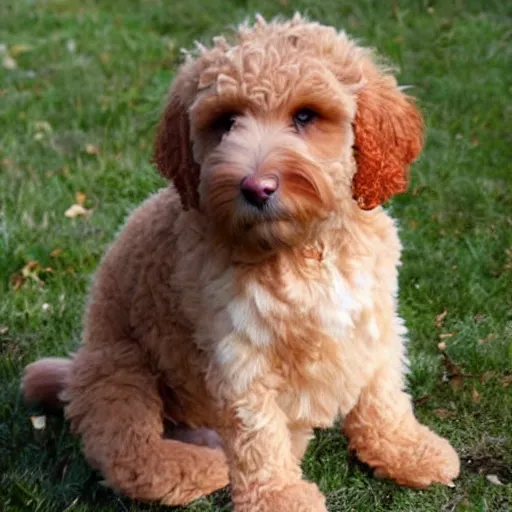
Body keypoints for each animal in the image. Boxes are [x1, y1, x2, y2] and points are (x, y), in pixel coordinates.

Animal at [22, 14, 460, 510]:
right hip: (120, 370)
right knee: (135, 456)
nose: (256, 187)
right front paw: (279, 496)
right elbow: (257, 434)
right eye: (227, 121)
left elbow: (383, 393)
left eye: (305, 116)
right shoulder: (240, 351)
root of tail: (73, 374)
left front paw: (408, 451)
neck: (301, 248)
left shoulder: (372, 315)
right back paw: (200, 465)